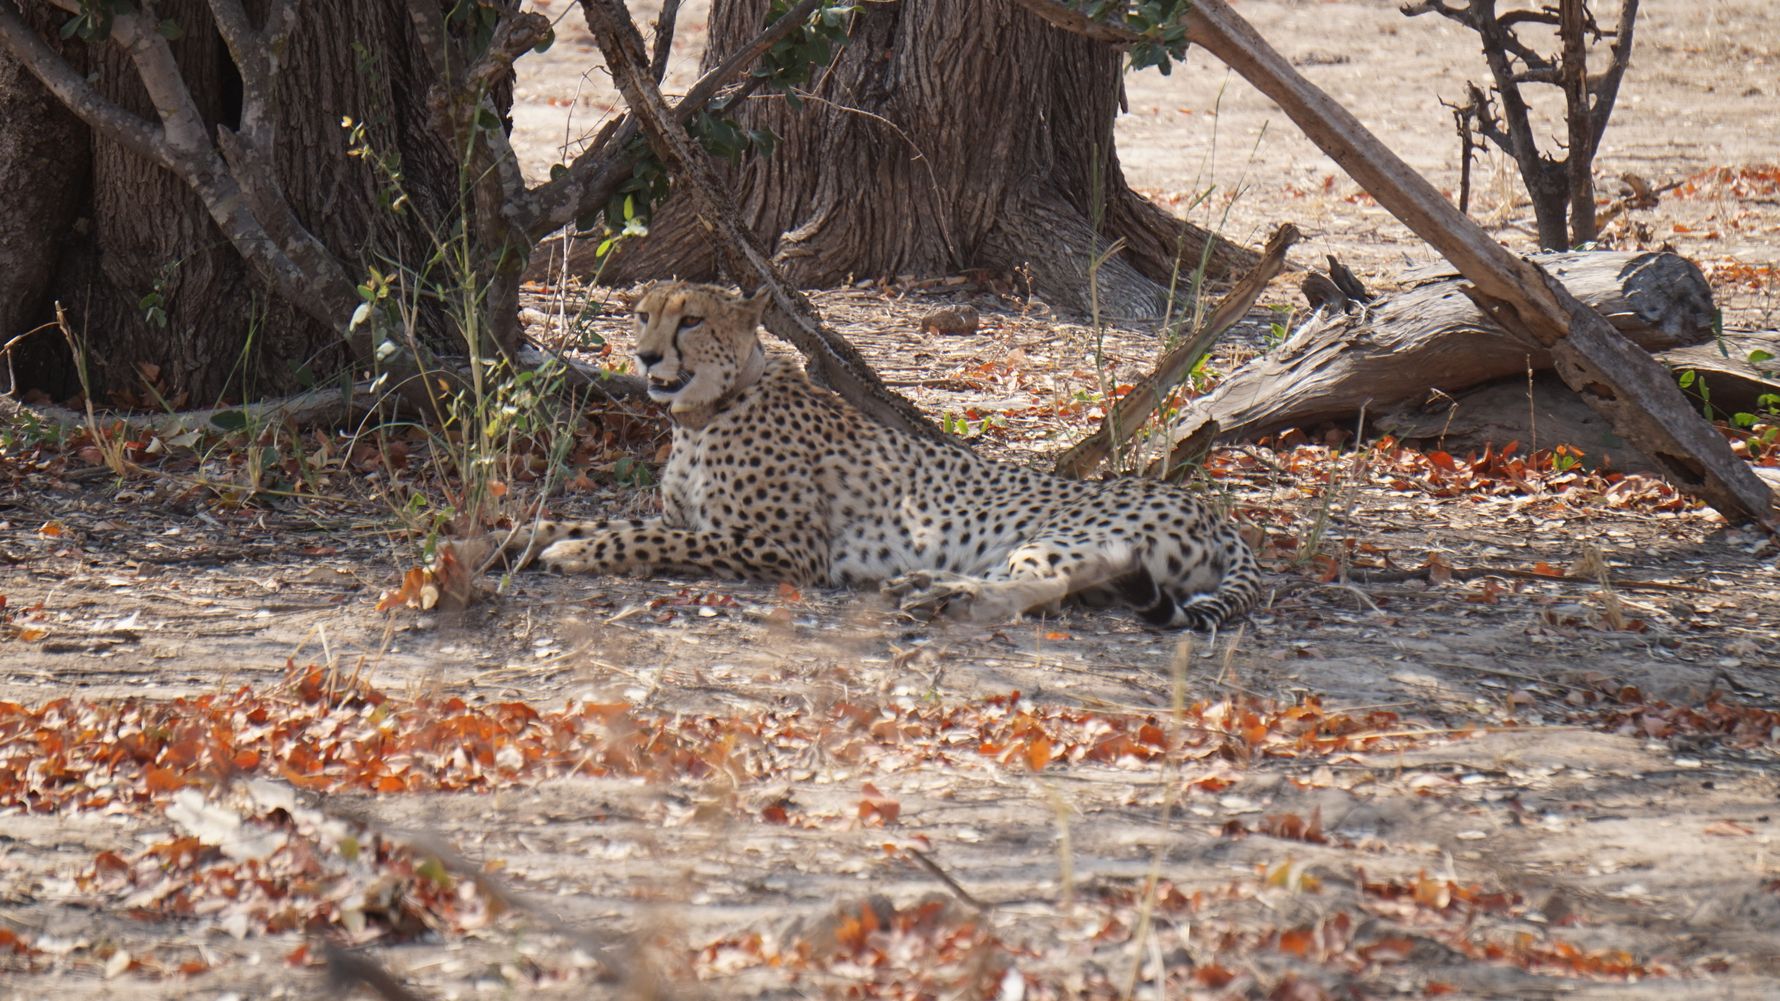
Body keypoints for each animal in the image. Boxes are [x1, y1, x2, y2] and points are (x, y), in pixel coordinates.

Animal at [488, 282, 1261, 629]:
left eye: (693, 320)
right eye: (644, 314)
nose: (646, 356)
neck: (706, 413)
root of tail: (1213, 511)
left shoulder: (783, 549)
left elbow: (634, 537)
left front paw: (570, 553)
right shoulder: (703, 520)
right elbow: (572, 520)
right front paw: (499, 542)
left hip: (1065, 535)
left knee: (1029, 590)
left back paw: (948, 594)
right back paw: (931, 585)